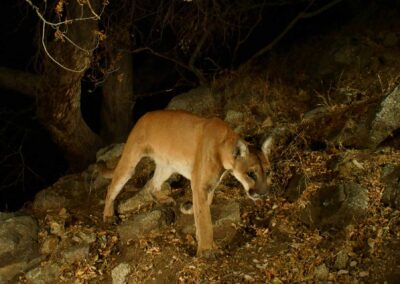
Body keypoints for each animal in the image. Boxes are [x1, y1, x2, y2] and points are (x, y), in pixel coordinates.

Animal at [103, 110, 272, 258]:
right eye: (251, 173)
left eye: (268, 172)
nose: (264, 193)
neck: (224, 146)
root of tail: (145, 115)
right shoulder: (199, 184)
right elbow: (204, 220)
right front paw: (207, 250)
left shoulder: (210, 183)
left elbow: (206, 204)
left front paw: (190, 210)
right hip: (130, 162)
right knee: (112, 187)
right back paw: (108, 216)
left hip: (167, 166)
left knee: (151, 184)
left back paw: (164, 200)